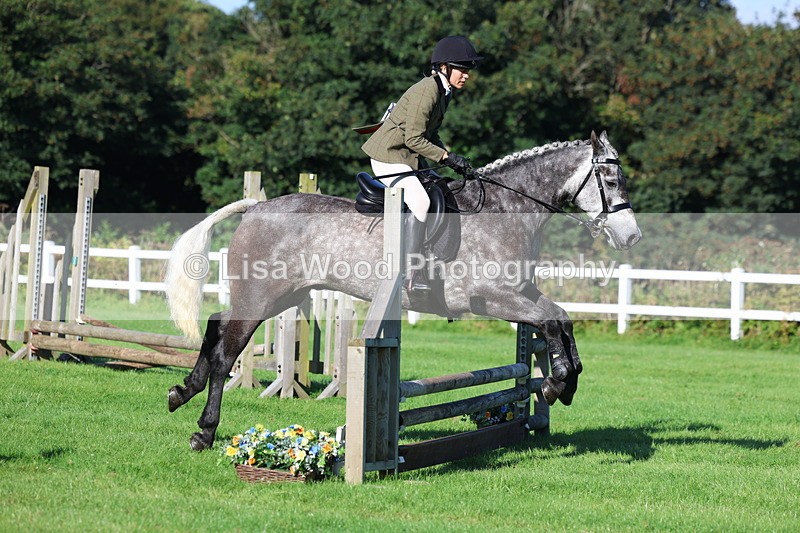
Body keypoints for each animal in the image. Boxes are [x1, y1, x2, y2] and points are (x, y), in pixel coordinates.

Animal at [164, 130, 641, 451]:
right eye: (610, 181)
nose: (631, 236)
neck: (507, 209)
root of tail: (257, 206)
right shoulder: (492, 298)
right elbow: (551, 321)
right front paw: (557, 382)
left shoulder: (521, 292)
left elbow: (561, 318)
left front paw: (565, 381)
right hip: (261, 297)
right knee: (227, 351)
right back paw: (204, 431)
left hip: (280, 296)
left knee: (216, 325)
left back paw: (181, 392)